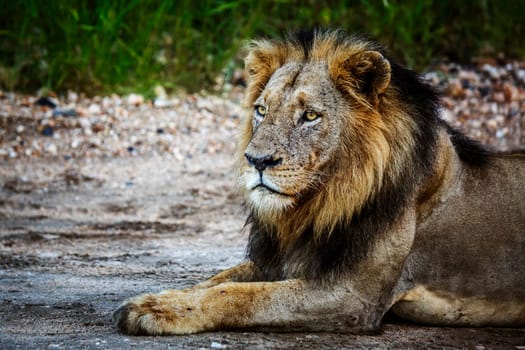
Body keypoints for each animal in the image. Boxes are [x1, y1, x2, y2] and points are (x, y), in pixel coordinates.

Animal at [113, 28, 524, 334]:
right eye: (261, 110)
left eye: (310, 116)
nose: (256, 160)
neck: (318, 204)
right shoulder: (281, 260)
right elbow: (218, 279)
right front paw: (158, 299)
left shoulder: (351, 296)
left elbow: (243, 295)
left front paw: (160, 311)